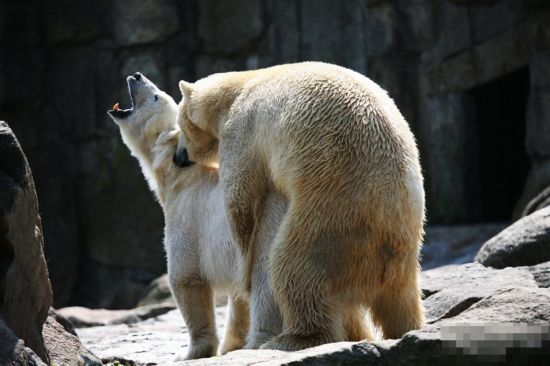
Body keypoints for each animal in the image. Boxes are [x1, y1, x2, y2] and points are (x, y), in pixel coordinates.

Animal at [108, 73, 288, 358]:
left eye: (156, 95)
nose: (137, 76)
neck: (178, 173)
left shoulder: (189, 213)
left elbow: (186, 277)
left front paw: (193, 351)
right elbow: (239, 294)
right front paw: (231, 346)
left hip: (272, 225)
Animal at [176, 61, 426, 350]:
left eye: (179, 125)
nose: (178, 156)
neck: (240, 87)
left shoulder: (242, 130)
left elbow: (241, 198)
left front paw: (243, 265)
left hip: (334, 214)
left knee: (294, 265)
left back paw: (290, 338)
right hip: (404, 245)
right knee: (401, 299)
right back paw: (406, 327)